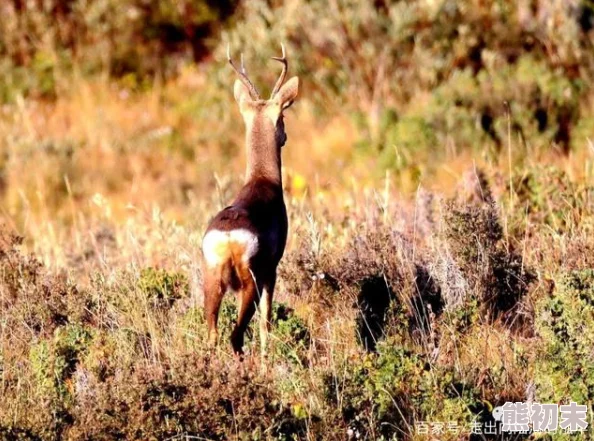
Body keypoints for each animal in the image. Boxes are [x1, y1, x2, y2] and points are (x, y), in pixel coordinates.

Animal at [200, 43, 300, 354]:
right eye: (282, 117)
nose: (285, 136)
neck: (262, 180)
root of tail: (228, 238)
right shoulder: (273, 268)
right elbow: (266, 324)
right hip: (250, 280)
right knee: (237, 335)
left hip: (212, 279)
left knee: (212, 335)